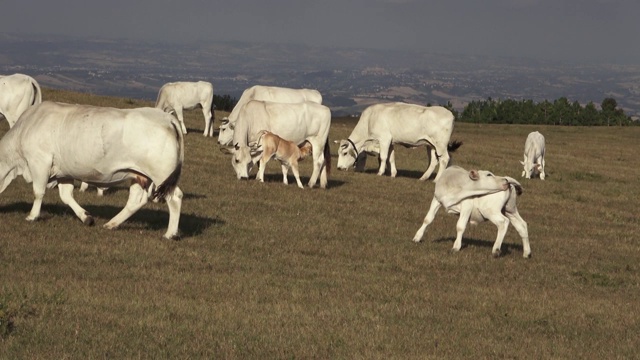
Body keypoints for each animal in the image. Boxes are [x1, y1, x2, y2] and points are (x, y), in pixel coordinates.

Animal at [0, 101, 185, 239]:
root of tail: (166, 118)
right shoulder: (64, 172)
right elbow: (66, 196)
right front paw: (86, 217)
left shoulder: (39, 162)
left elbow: (38, 192)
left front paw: (32, 216)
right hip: (139, 175)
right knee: (136, 201)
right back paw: (111, 224)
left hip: (161, 175)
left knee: (175, 198)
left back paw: (170, 234)